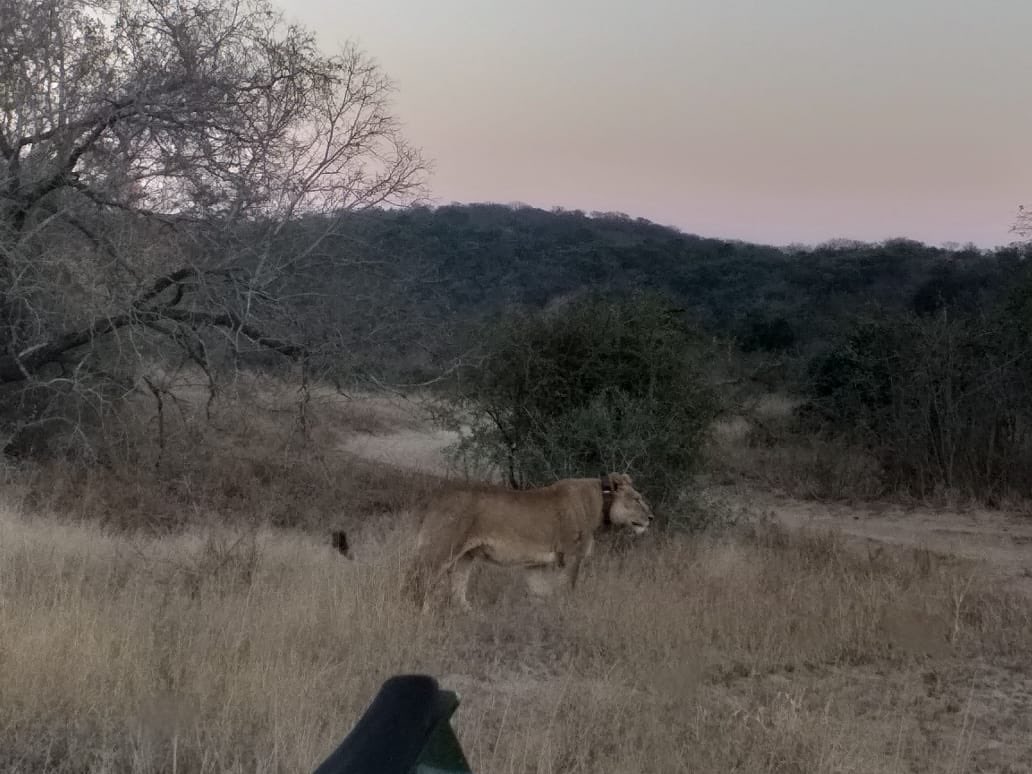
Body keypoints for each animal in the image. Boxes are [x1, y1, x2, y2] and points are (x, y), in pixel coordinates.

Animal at [403, 473, 654, 611]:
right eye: (637, 499)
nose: (651, 517)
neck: (601, 502)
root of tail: (437, 496)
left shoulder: (537, 564)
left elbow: (540, 594)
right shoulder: (572, 556)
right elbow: (568, 589)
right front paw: (568, 612)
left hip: (466, 556)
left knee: (458, 589)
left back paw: (470, 612)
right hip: (441, 549)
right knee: (417, 579)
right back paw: (418, 611)